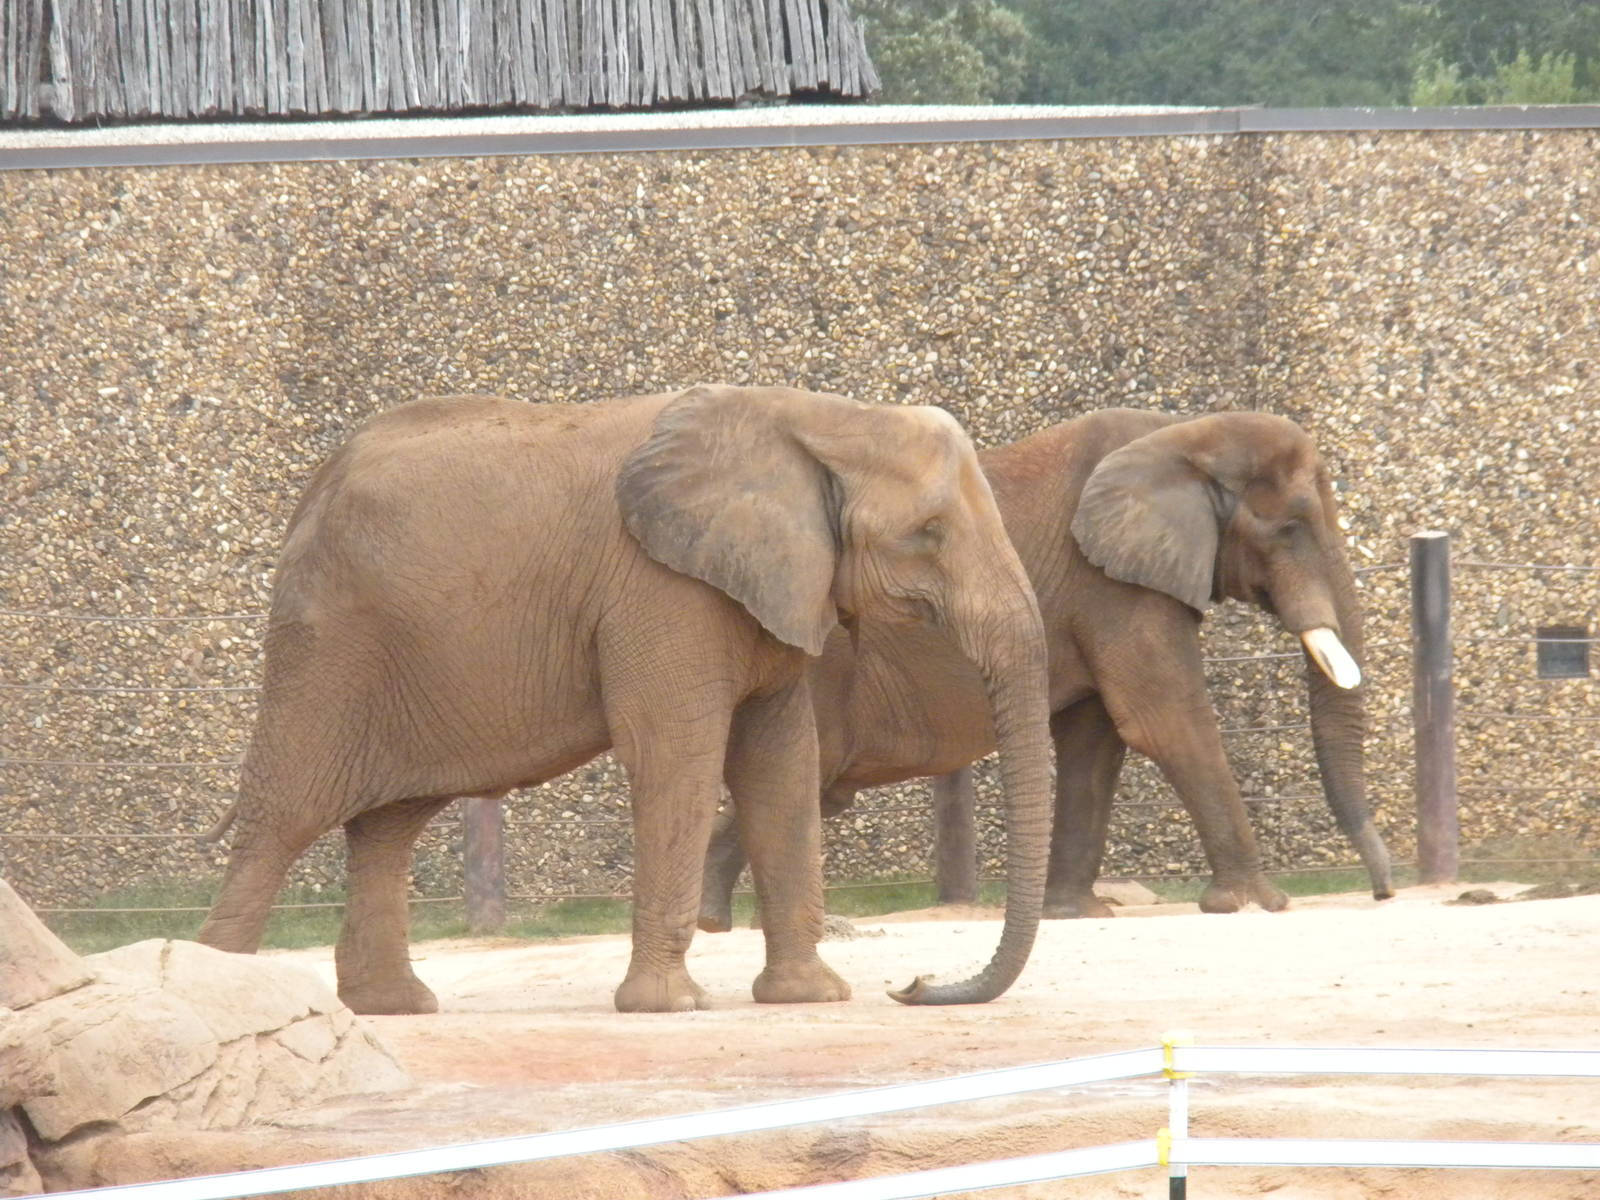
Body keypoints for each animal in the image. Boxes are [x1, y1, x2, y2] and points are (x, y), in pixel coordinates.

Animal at [197, 384, 1056, 1014]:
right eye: (929, 532)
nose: (912, 985)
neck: (815, 415)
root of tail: (314, 487)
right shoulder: (661, 589)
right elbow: (679, 754)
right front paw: (672, 1007)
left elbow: (778, 765)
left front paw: (809, 997)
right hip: (327, 648)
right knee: (284, 816)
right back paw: (219, 994)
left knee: (389, 824)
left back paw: (396, 1007)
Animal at [699, 406, 1392, 930]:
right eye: (1291, 527)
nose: (1384, 892)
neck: (1184, 433)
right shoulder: (1113, 588)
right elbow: (1165, 721)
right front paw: (1257, 903)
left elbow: (1095, 741)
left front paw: (1076, 913)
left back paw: (713, 920)